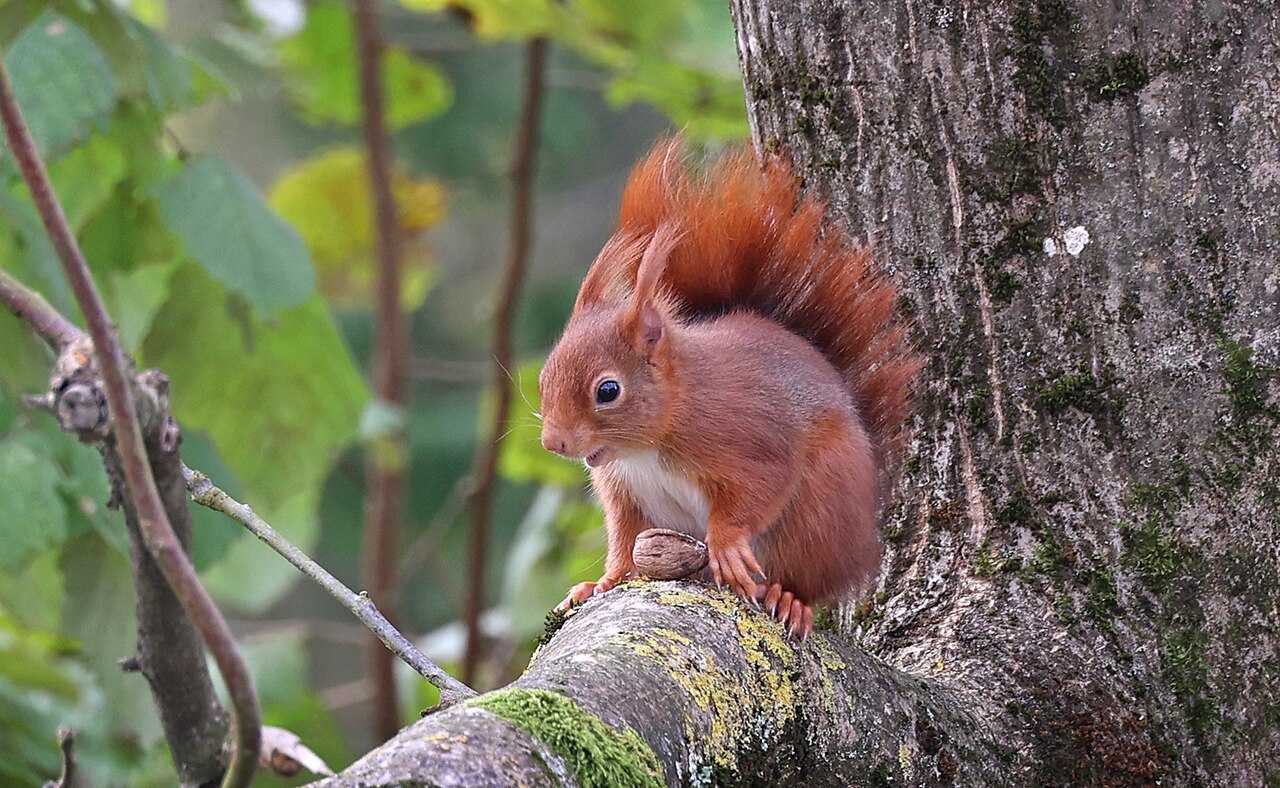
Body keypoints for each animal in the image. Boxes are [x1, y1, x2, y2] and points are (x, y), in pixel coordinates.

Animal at [538, 140, 922, 637]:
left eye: (607, 391)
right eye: (544, 377)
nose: (554, 442)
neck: (648, 445)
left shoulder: (749, 440)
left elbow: (755, 492)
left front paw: (725, 545)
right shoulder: (626, 493)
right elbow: (624, 542)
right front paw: (600, 583)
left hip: (821, 510)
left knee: (808, 575)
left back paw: (789, 598)